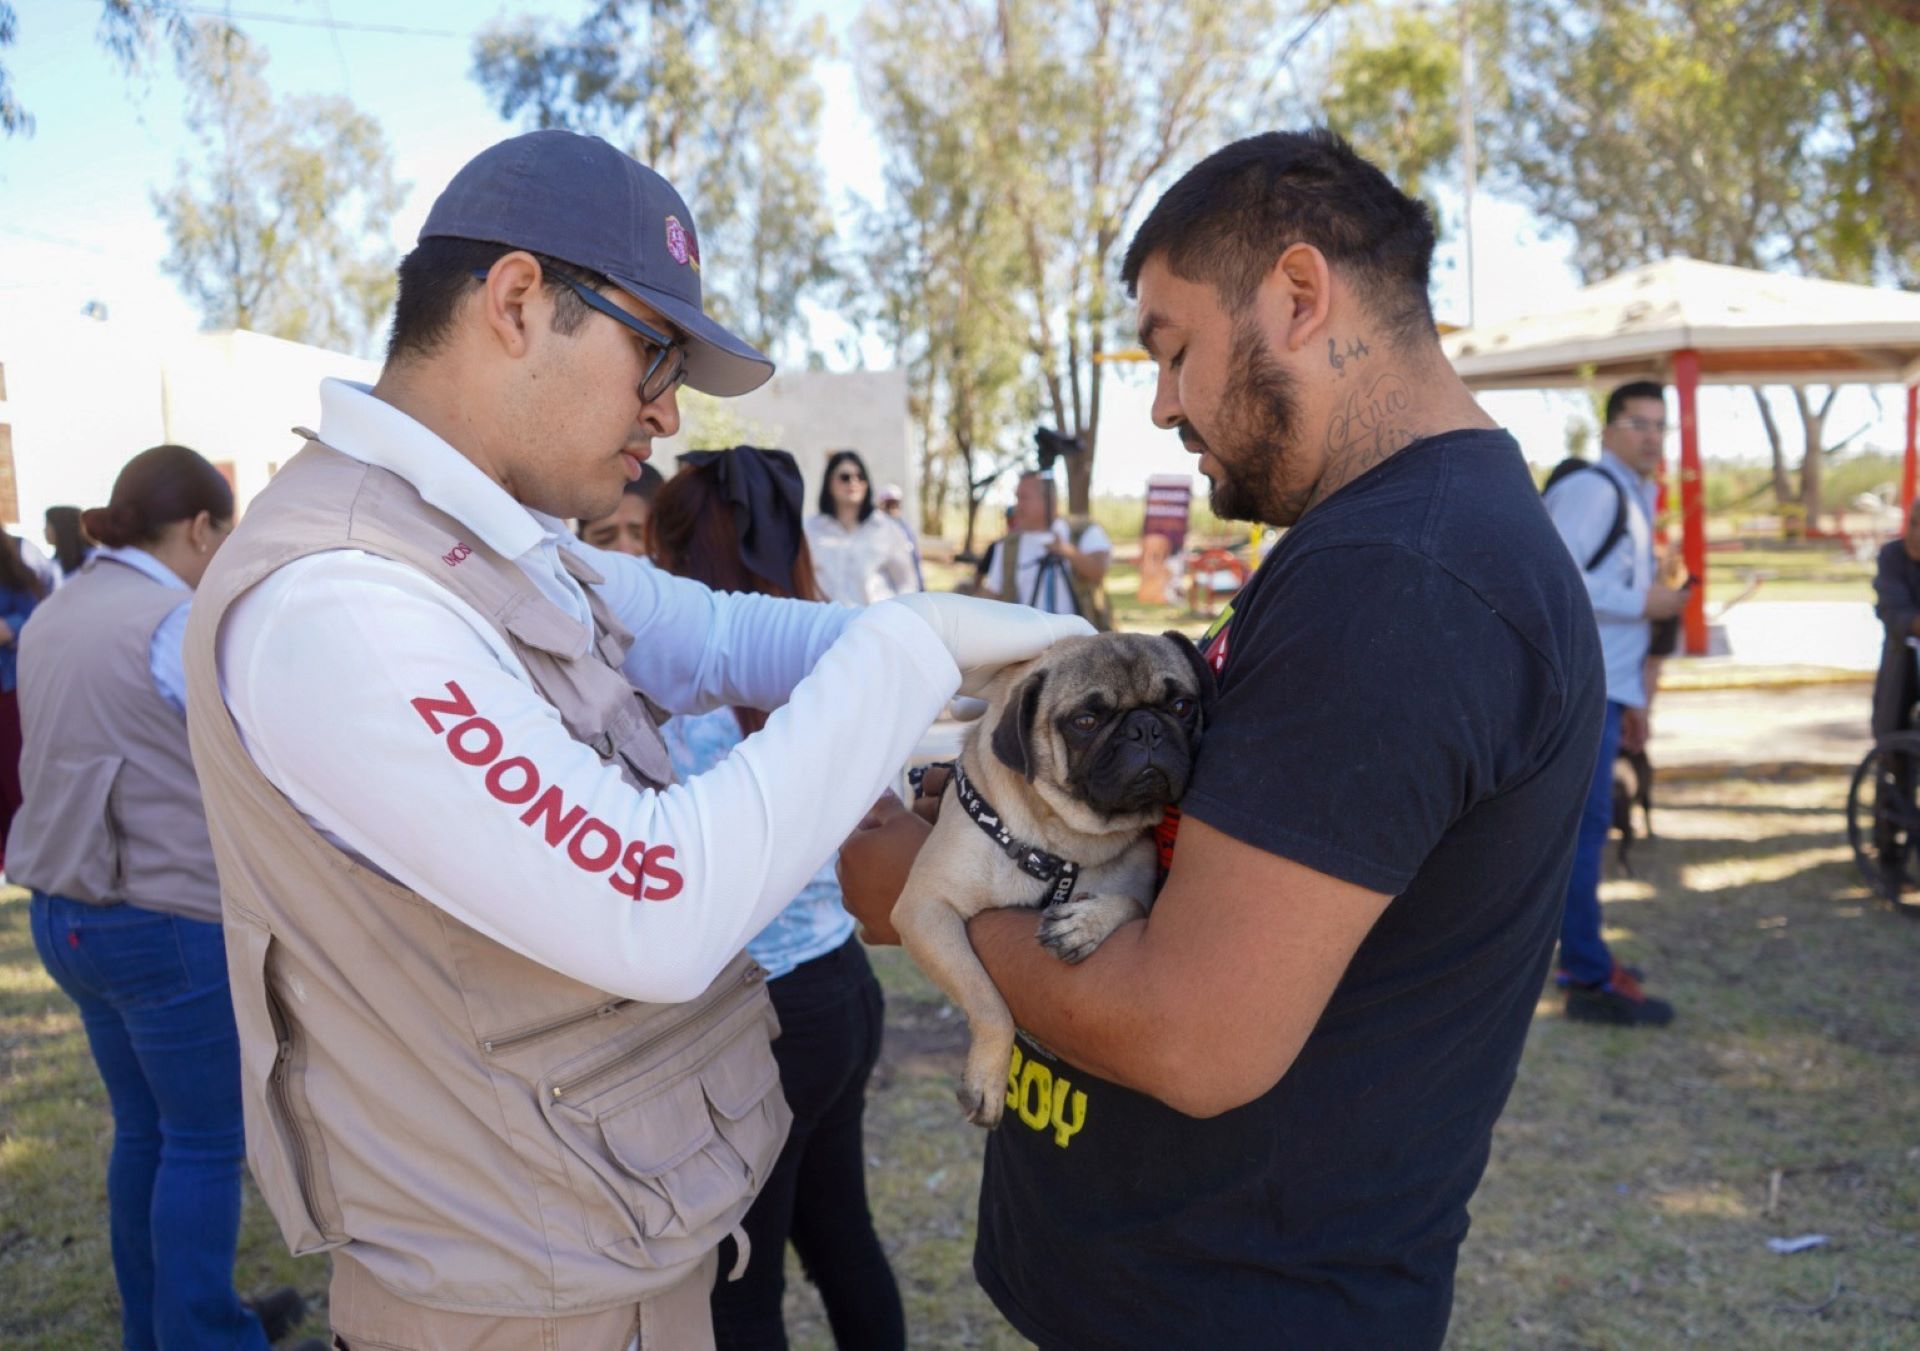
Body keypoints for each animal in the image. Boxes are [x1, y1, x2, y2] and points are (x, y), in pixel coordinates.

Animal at [887, 633, 1213, 1128]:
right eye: (1085, 721)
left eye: (1181, 706)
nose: (1146, 728)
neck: (1066, 843)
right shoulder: (926, 910)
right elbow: (988, 1002)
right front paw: (987, 1078)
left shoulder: (1139, 889)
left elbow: (1131, 903)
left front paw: (1084, 923)